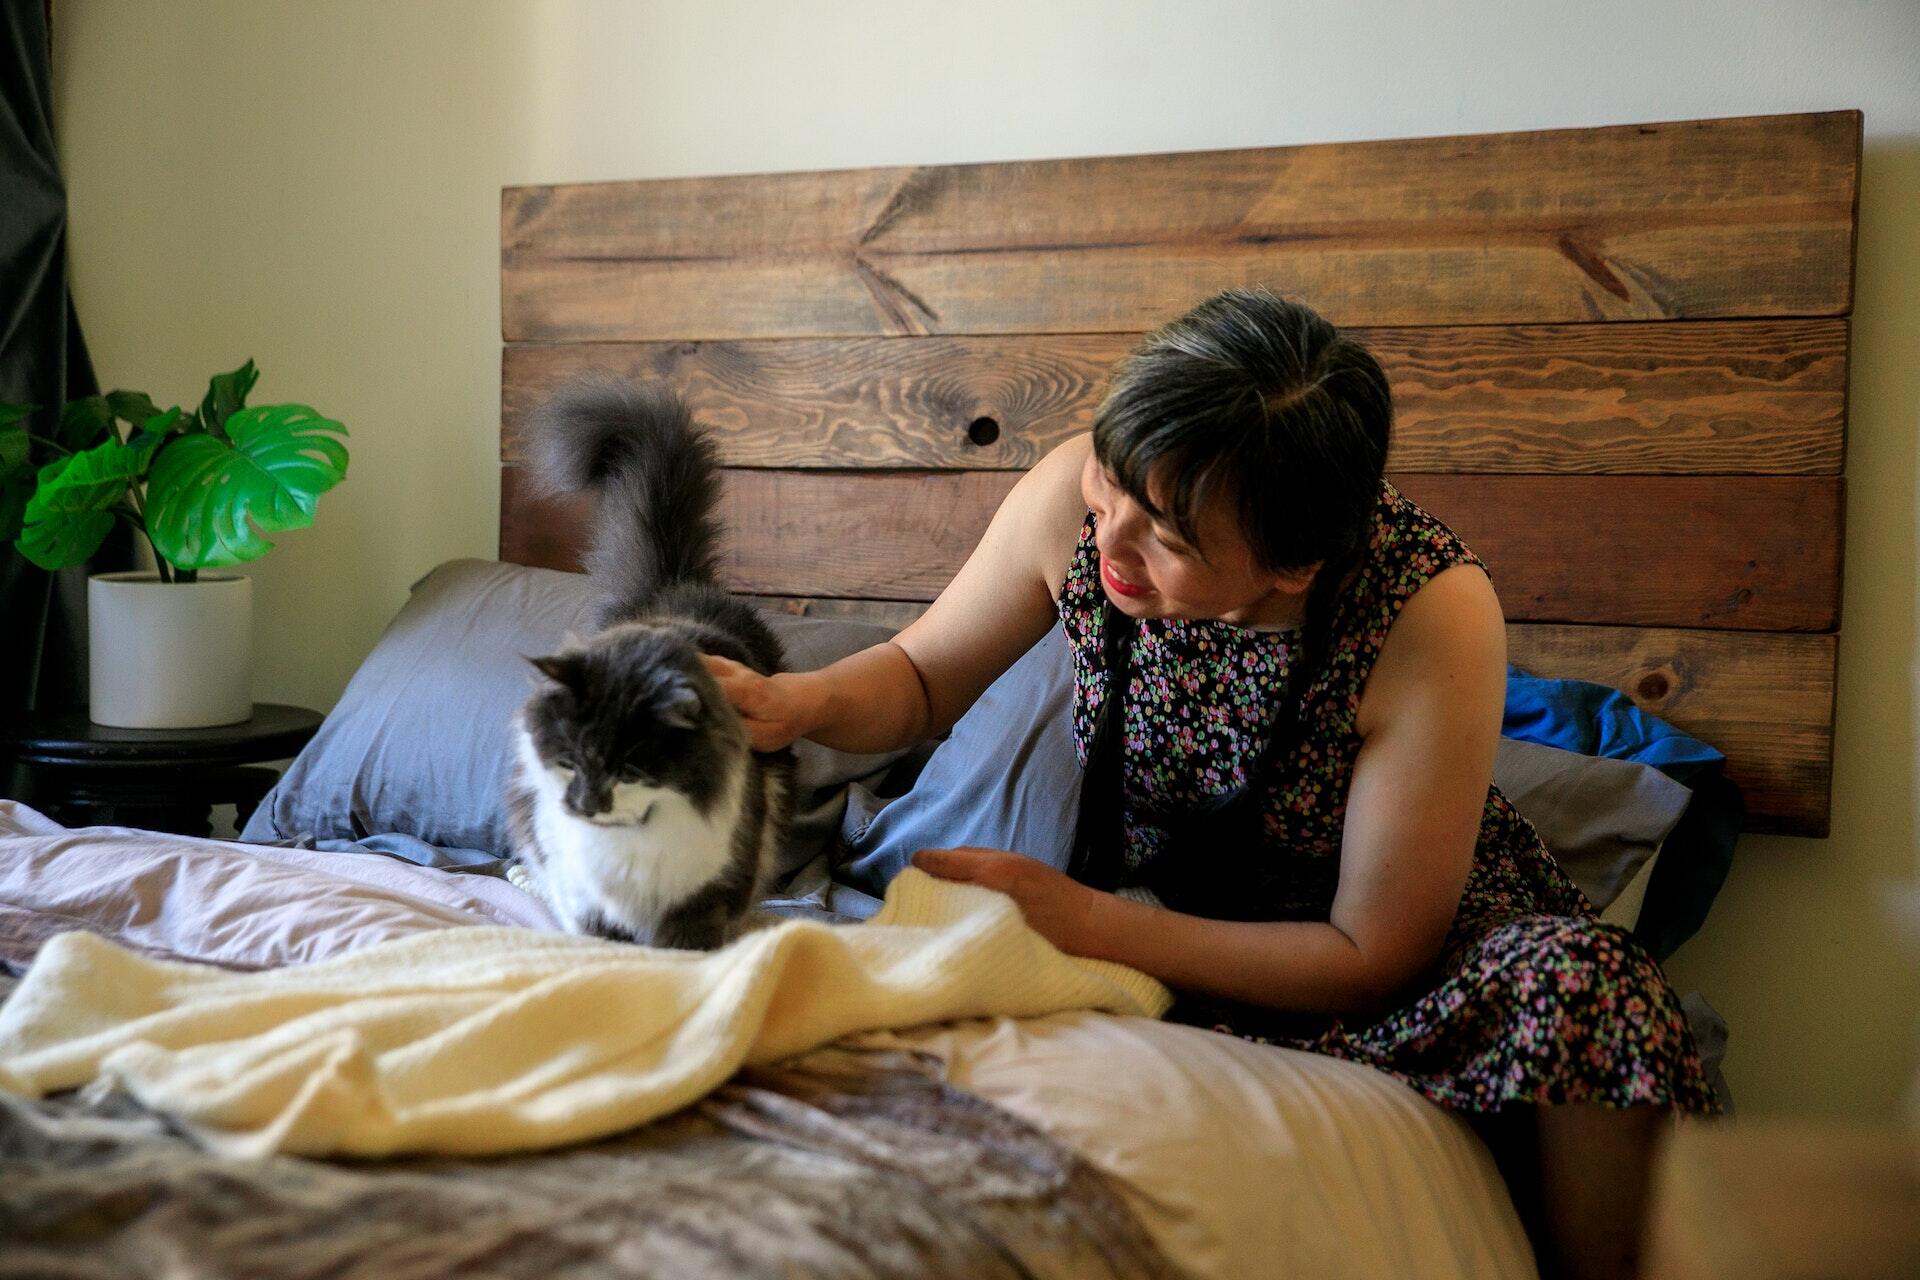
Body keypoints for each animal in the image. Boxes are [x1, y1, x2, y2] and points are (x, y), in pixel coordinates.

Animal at [503, 379, 794, 951]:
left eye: (629, 770)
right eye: (569, 762)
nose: (584, 804)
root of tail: (672, 586)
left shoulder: (709, 890)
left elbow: (681, 948)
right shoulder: (581, 895)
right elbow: (598, 939)